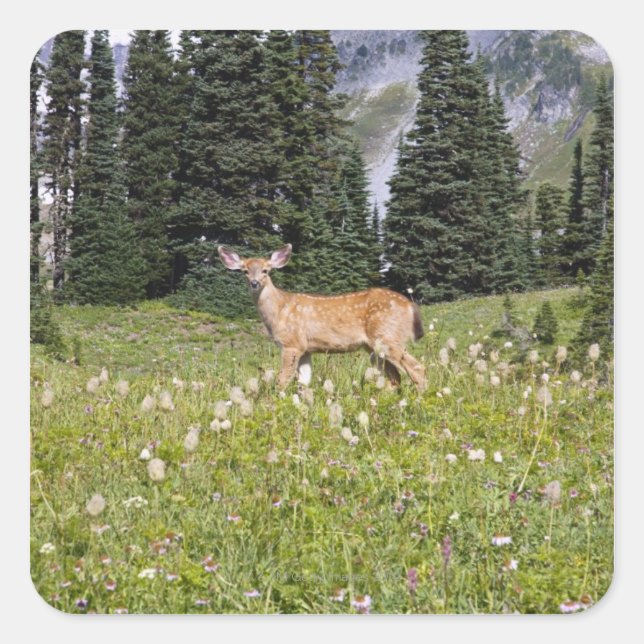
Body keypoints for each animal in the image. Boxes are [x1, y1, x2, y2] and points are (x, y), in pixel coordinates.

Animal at [218, 244, 427, 391]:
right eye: (245, 271)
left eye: (265, 270)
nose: (254, 283)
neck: (279, 310)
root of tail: (410, 306)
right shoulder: (306, 349)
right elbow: (303, 383)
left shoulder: (291, 344)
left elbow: (283, 379)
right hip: (374, 347)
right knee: (396, 376)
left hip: (387, 337)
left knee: (417, 368)